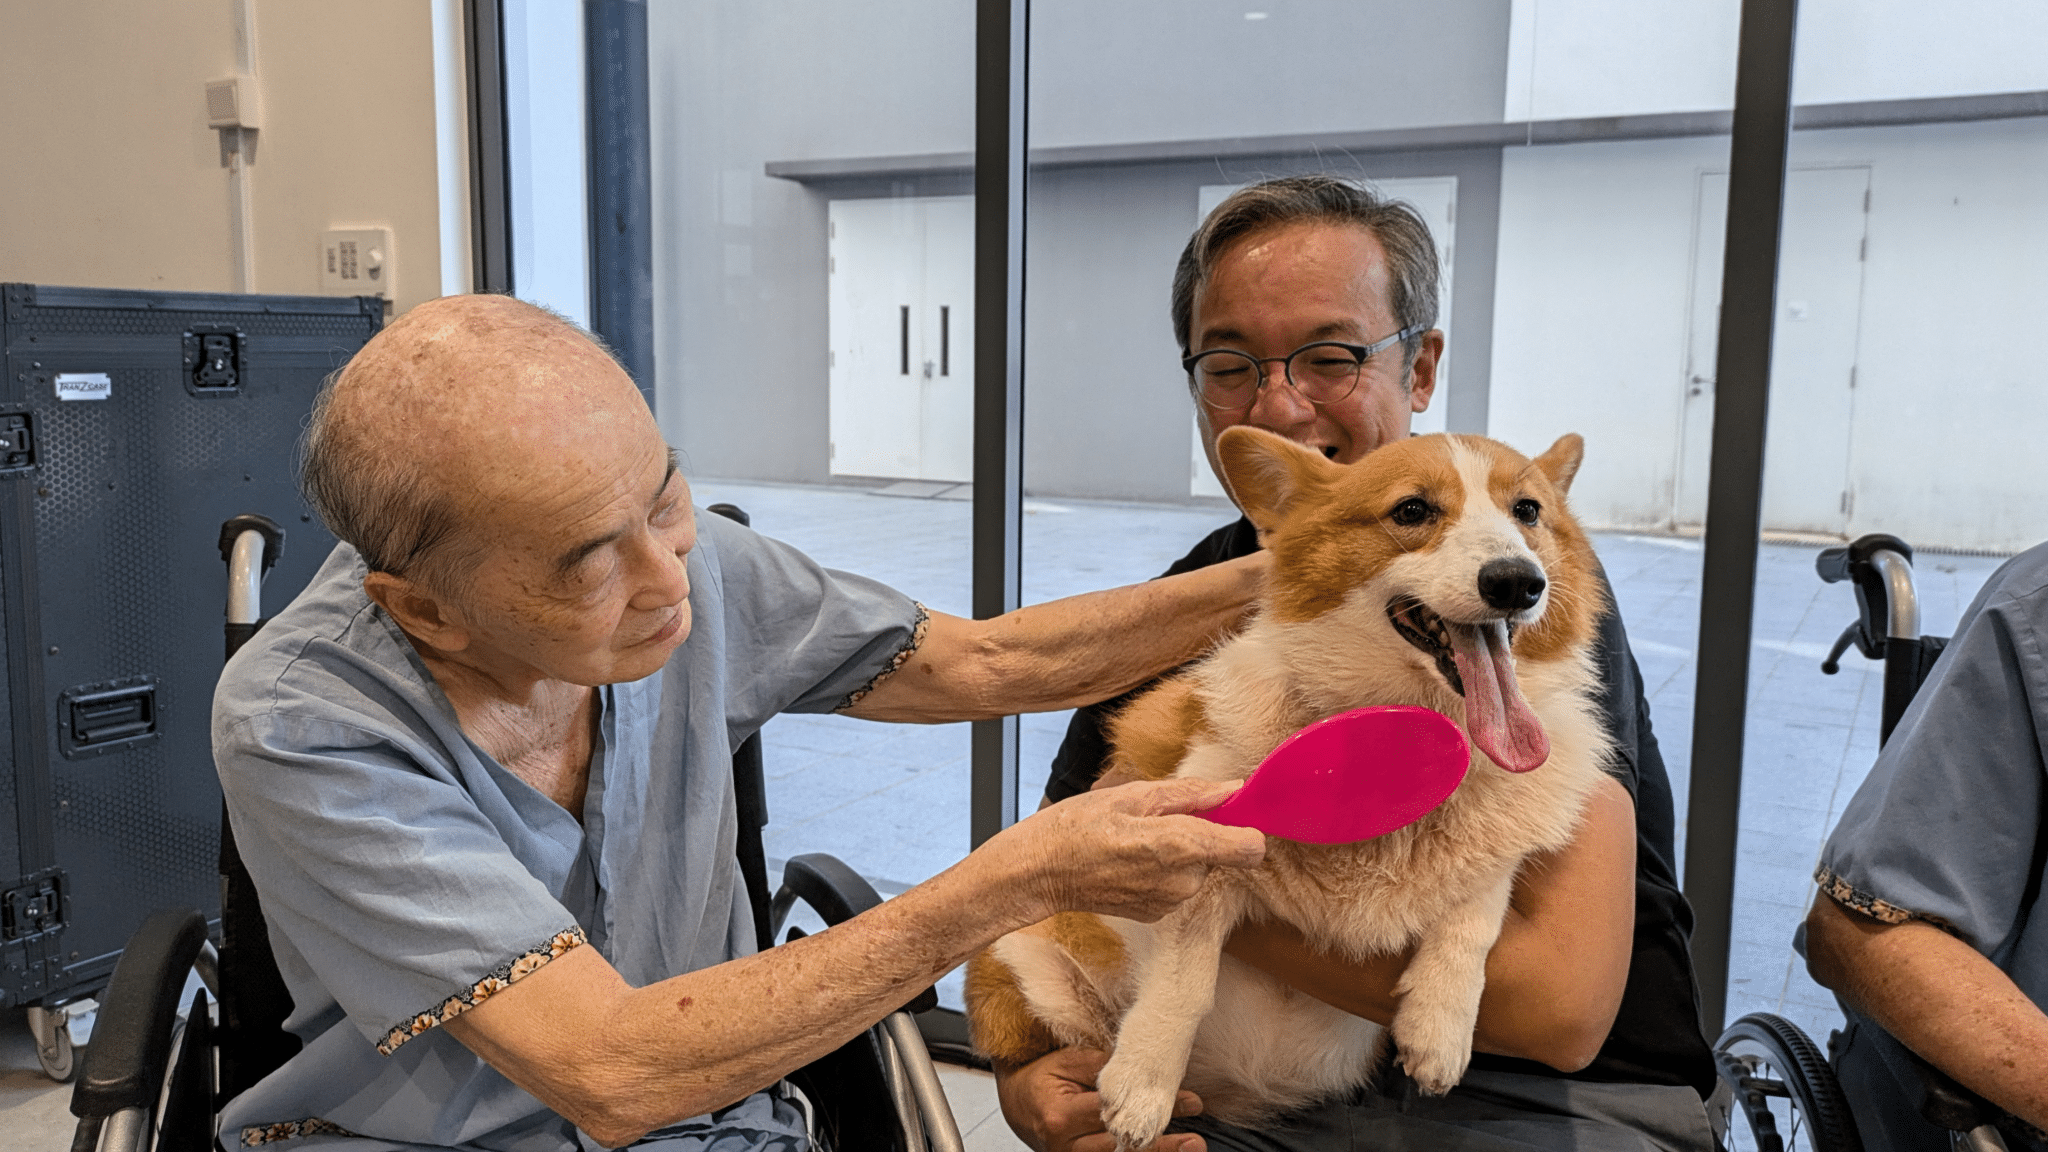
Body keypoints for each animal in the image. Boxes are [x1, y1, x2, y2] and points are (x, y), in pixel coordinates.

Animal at [958, 426, 1613, 1139]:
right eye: (1412, 510)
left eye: (1527, 512)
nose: (1517, 581)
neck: (1410, 727)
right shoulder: (1197, 849)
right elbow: (1183, 982)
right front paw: (1143, 1086)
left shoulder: (1501, 850)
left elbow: (1475, 915)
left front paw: (1439, 1033)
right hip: (1031, 966)